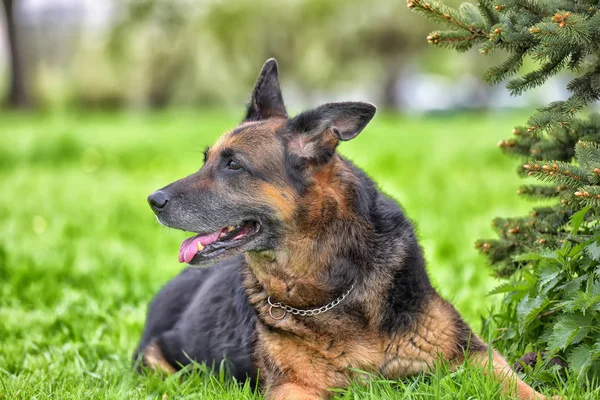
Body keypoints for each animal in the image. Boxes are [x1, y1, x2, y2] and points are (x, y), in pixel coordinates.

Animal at [136, 57, 552, 398]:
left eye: (233, 164)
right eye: (206, 160)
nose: (153, 201)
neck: (337, 285)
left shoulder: (473, 355)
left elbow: (526, 389)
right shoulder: (295, 386)